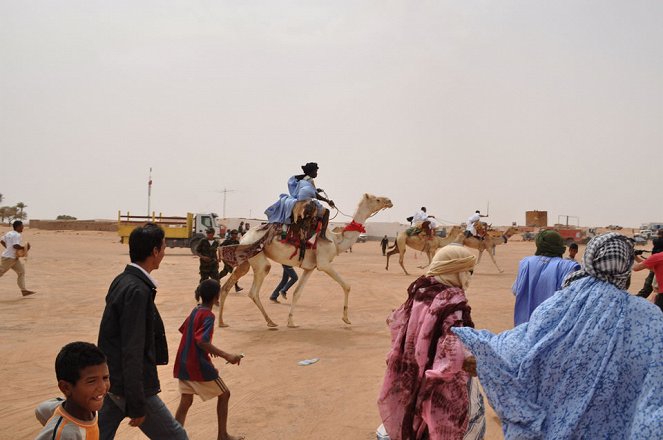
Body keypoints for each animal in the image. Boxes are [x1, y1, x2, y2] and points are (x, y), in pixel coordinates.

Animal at [218, 194, 394, 328]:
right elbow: (347, 285)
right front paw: (346, 319)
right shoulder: (324, 263)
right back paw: (271, 322)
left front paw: (291, 322)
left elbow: (297, 293)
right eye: (377, 199)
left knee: (227, 286)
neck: (336, 241)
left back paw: (222, 322)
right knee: (254, 290)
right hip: (258, 259)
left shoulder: (310, 268)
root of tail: (244, 237)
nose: (389, 201)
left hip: (246, 260)